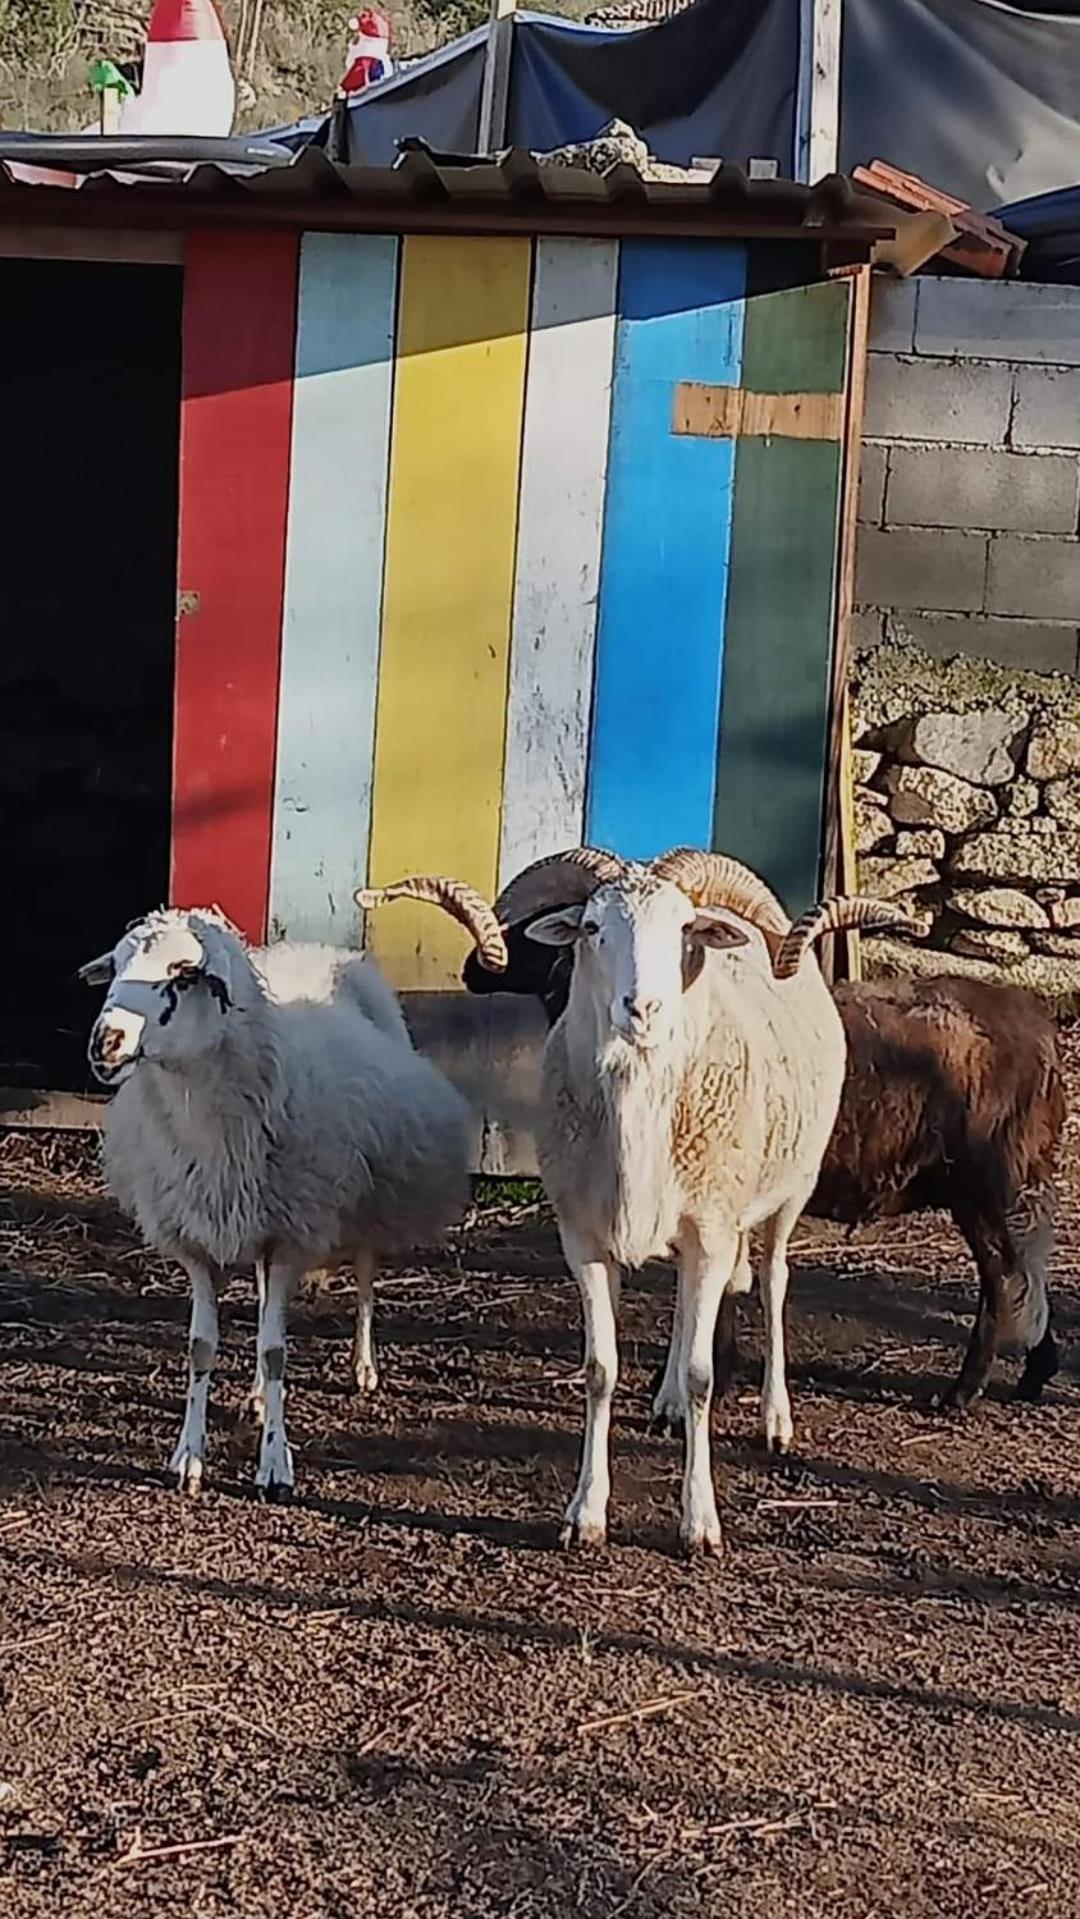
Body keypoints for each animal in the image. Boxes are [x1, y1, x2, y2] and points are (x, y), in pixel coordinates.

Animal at [460, 921, 1058, 1404]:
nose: (471, 965)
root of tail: (1040, 1028)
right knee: (1027, 1271)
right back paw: (1034, 1374)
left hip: (985, 1186)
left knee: (1004, 1277)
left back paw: (965, 1390)